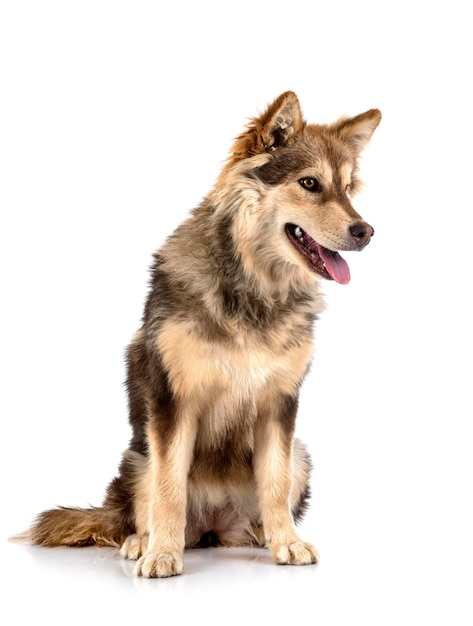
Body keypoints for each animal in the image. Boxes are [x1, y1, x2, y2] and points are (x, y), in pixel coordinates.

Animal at [16, 91, 382, 576]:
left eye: (348, 188)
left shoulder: (279, 405)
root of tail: (214, 525)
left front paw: (287, 542)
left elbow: (276, 480)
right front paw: (161, 554)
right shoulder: (173, 402)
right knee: (141, 505)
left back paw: (262, 535)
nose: (366, 231)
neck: (253, 287)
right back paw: (142, 541)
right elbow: (169, 488)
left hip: (300, 453)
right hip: (137, 456)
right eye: (309, 183)